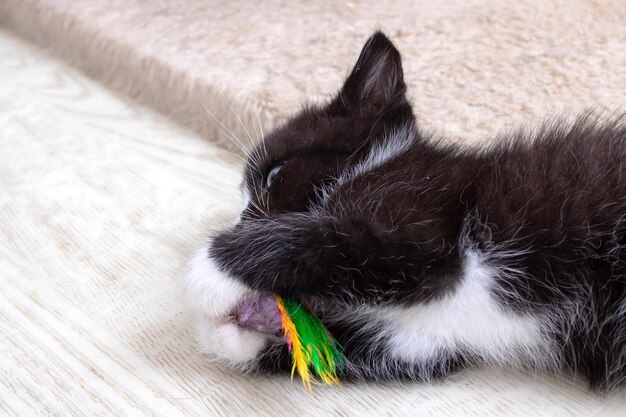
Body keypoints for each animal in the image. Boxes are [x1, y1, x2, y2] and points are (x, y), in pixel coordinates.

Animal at [185, 30, 624, 388]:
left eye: (274, 177)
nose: (241, 223)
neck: (378, 165)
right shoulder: (425, 341)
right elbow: (345, 345)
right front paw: (227, 334)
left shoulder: (424, 227)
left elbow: (334, 240)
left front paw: (208, 272)